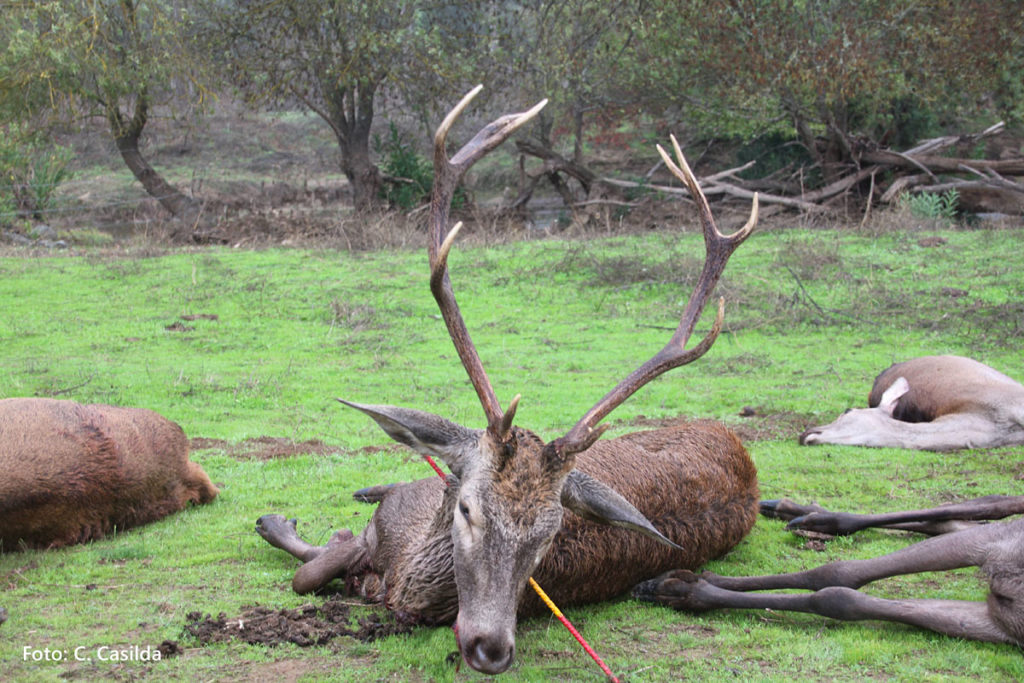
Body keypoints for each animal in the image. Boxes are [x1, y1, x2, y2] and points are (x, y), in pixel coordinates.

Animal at [256, 87, 761, 679]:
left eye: (550, 532)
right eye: (466, 509)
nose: (490, 647)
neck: (403, 576)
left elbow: (309, 569)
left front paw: (284, 525)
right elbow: (315, 569)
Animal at [630, 497, 1024, 647]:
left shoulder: (1000, 625)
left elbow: (837, 599)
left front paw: (682, 589)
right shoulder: (996, 547)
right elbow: (839, 574)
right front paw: (684, 582)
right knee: (975, 507)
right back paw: (808, 513)